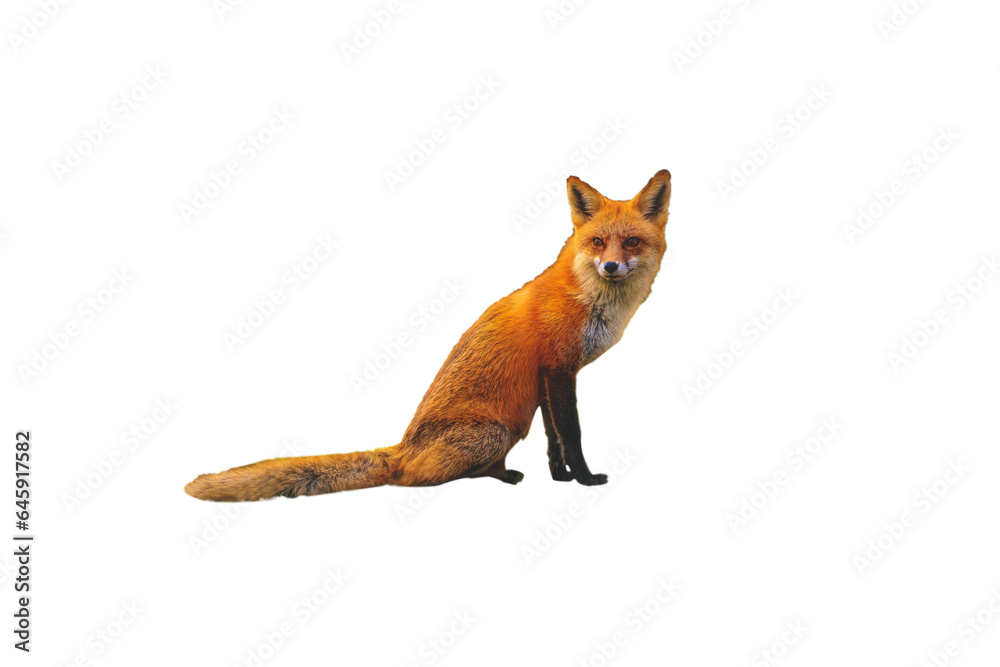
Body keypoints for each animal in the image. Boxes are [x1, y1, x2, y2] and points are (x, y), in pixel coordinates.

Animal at [185, 169, 671, 501]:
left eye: (631, 242)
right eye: (597, 243)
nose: (611, 266)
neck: (590, 299)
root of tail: (402, 449)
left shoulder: (549, 377)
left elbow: (555, 441)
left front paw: (561, 477)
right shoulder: (558, 369)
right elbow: (573, 436)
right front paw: (585, 479)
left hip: (517, 419)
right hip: (499, 429)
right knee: (416, 480)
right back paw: (496, 476)